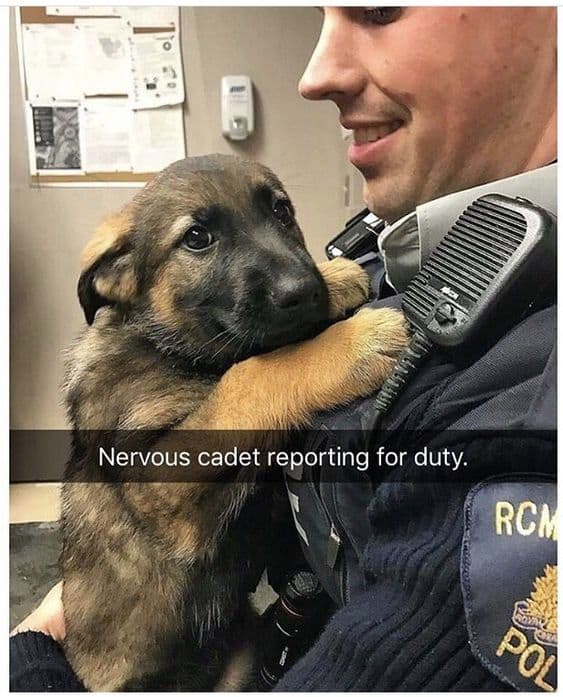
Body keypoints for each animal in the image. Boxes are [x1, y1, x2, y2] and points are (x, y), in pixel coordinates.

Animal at [61, 154, 410, 692]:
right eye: (197, 238)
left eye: (281, 211)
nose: (303, 290)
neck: (161, 343)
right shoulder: (160, 481)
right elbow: (253, 372)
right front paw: (355, 343)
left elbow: (260, 353)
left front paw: (335, 279)